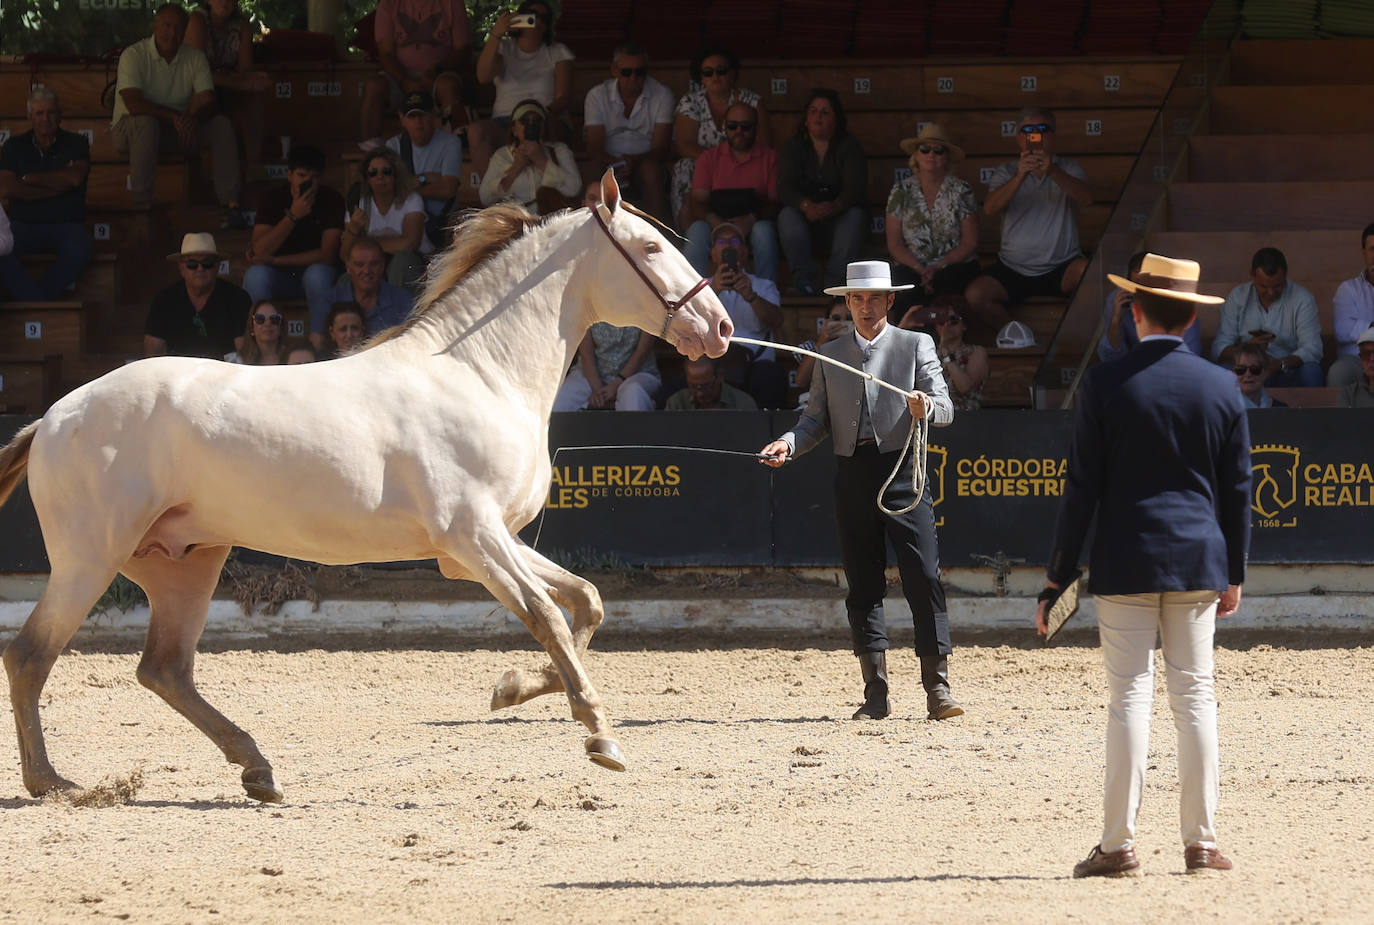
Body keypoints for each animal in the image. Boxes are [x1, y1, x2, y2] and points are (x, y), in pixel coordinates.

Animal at [0, 171, 733, 804]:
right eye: (650, 247)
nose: (720, 328)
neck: (480, 373)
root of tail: (53, 417)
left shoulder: (486, 542)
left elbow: (586, 603)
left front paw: (513, 687)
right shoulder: (473, 538)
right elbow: (549, 615)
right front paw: (601, 735)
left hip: (184, 562)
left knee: (164, 668)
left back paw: (257, 770)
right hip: (91, 558)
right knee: (32, 654)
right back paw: (52, 782)